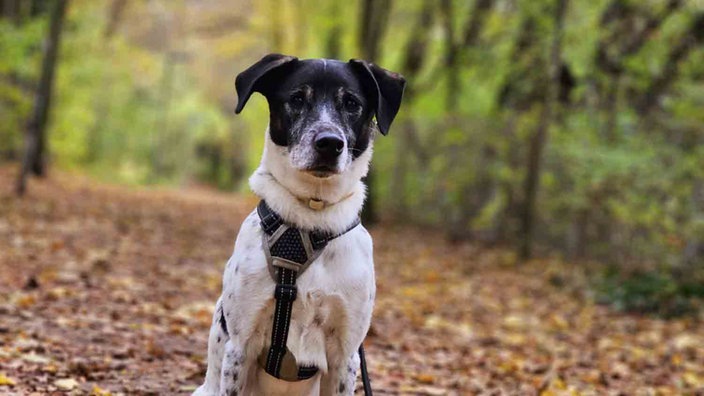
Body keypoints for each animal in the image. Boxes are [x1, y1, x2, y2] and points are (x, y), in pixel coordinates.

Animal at [197, 53, 408, 396]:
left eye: (352, 103)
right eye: (296, 99)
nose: (329, 143)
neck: (310, 222)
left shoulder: (345, 356)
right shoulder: (240, 346)